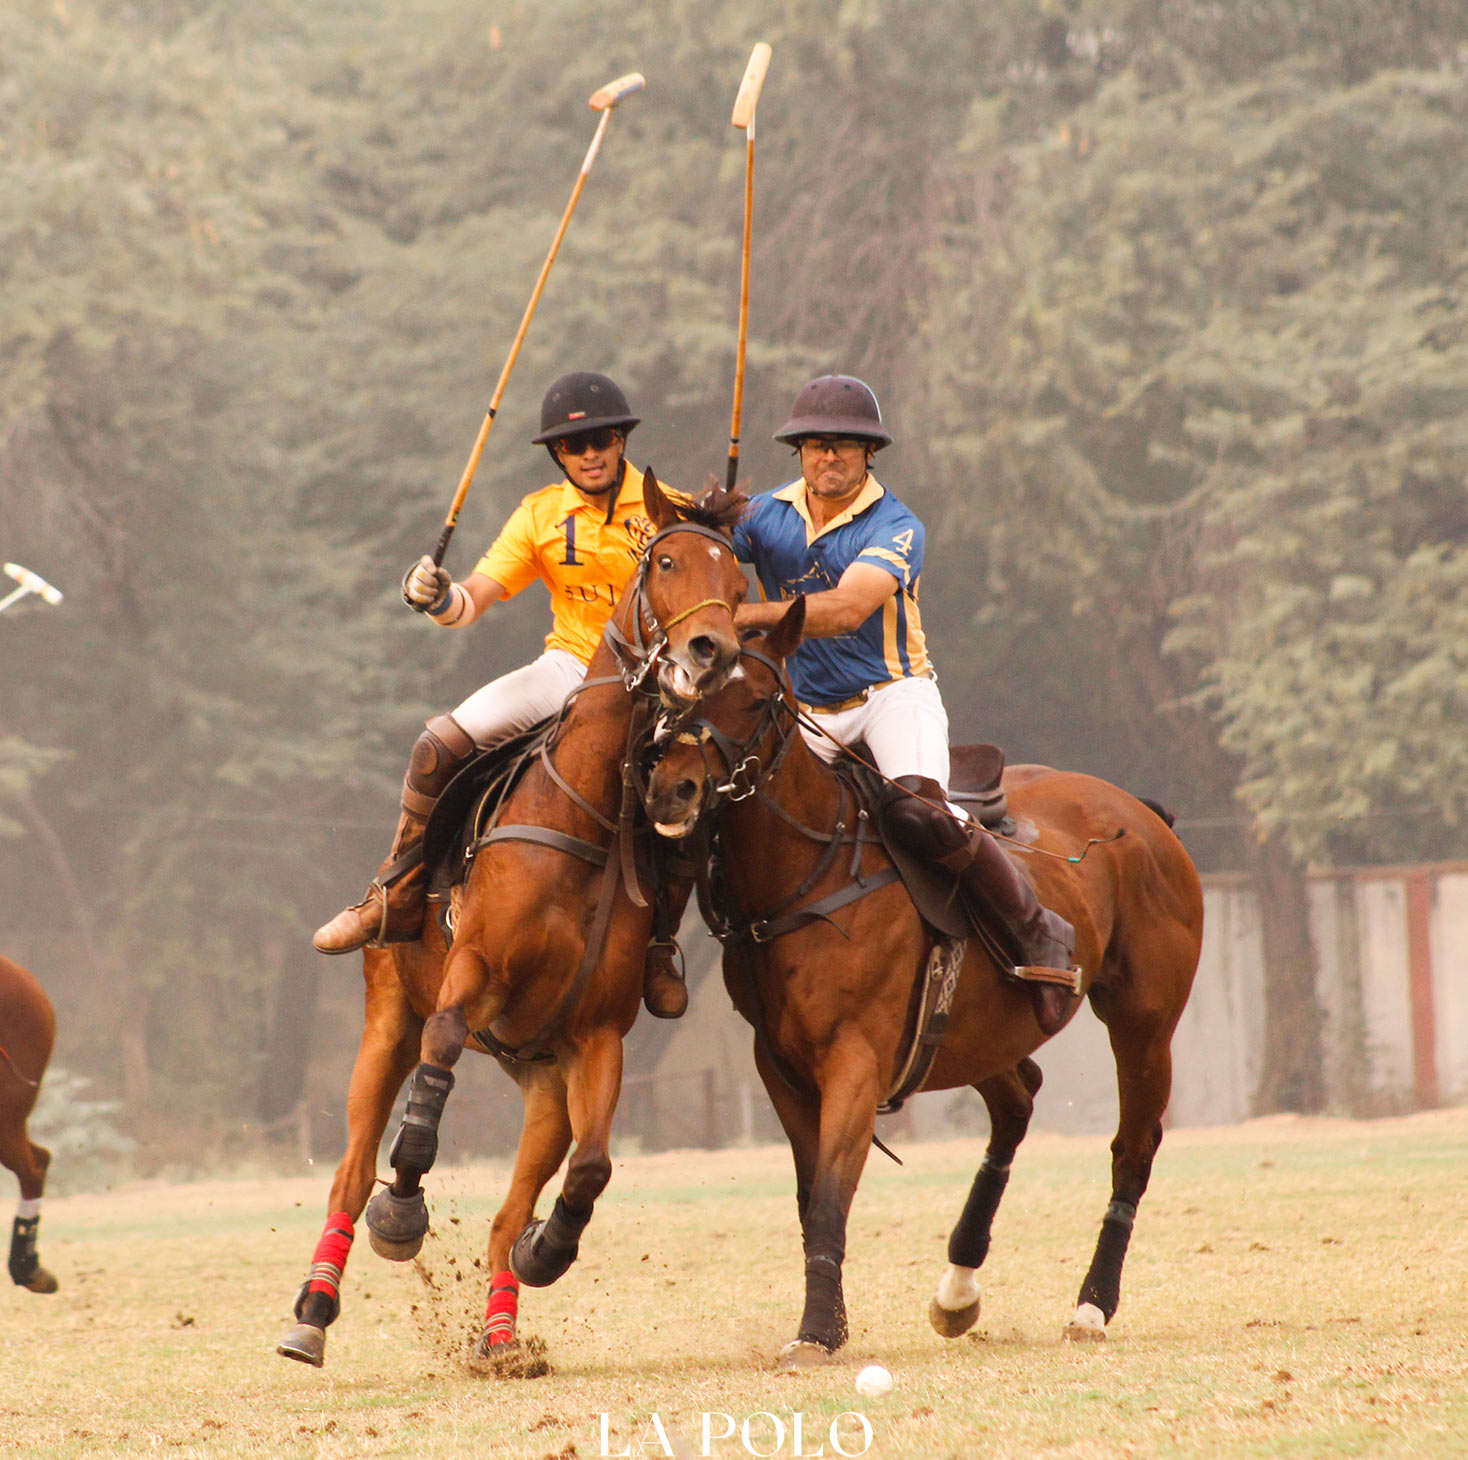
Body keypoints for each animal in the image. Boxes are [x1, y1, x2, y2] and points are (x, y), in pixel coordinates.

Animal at [280, 475, 751, 1367]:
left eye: (741, 583)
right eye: (666, 561)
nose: (711, 651)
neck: (584, 815)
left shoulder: (594, 1038)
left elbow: (594, 1166)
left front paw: (548, 1249)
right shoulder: (469, 977)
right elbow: (433, 1075)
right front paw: (403, 1211)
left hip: (538, 1077)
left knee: (508, 1207)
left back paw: (501, 1334)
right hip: (386, 1014)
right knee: (352, 1171)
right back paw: (313, 1309)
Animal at [642, 601, 1203, 1367]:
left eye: (756, 700)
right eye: (678, 696)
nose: (673, 790)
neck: (808, 872)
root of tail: (1145, 813)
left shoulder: (855, 1058)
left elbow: (829, 1194)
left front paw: (814, 1333)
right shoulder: (778, 1066)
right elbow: (810, 1195)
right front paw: (830, 1323)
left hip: (1145, 1024)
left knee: (1132, 1150)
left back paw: (1090, 1307)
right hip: (975, 1034)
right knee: (1018, 1102)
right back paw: (958, 1290)